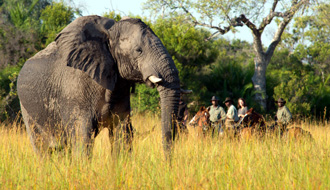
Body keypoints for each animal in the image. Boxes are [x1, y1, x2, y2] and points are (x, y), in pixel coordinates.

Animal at [18, 15, 180, 157]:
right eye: (138, 50)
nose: (167, 164)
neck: (108, 34)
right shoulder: (75, 90)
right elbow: (82, 137)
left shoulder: (120, 86)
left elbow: (122, 134)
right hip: (27, 111)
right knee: (44, 149)